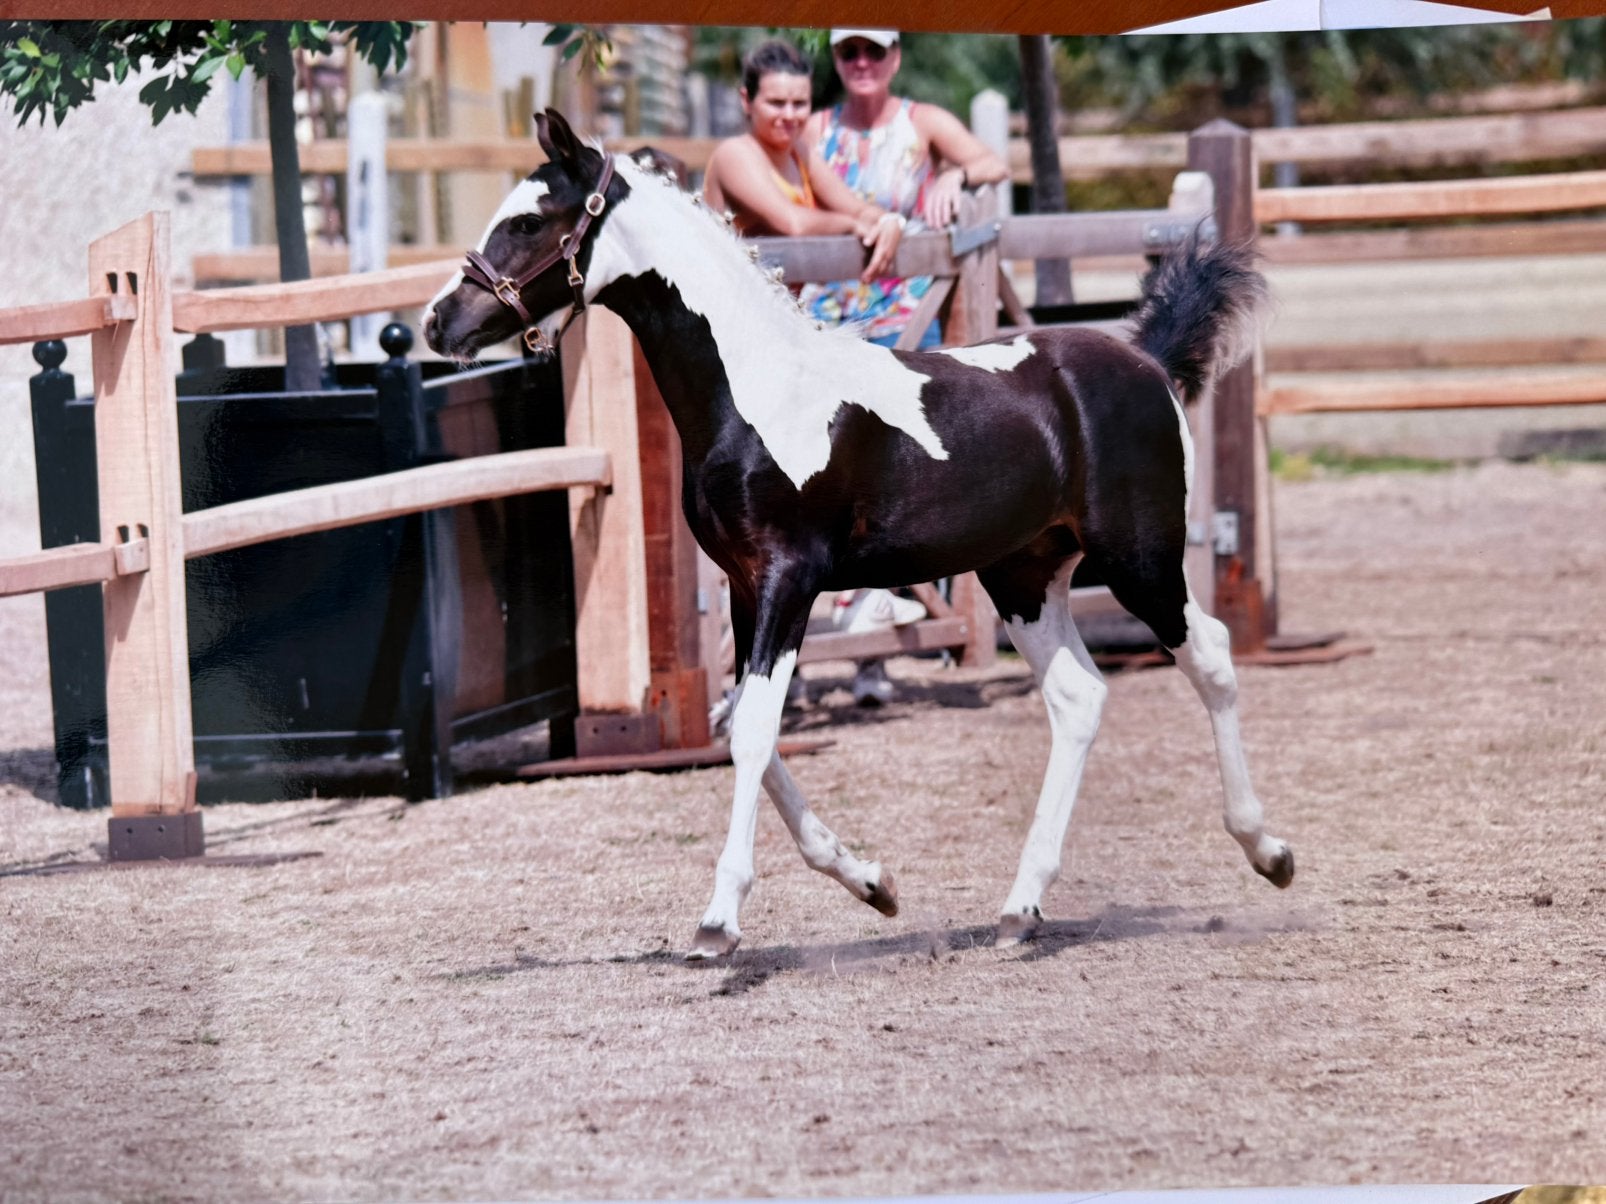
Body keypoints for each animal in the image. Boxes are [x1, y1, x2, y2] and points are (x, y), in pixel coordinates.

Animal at [423, 108, 1293, 961]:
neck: (759, 390)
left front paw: (719, 921)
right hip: (1023, 575)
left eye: (530, 220)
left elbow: (754, 731)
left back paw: (1269, 851)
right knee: (1078, 697)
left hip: (1139, 559)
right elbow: (747, 729)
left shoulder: (790, 578)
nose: (439, 322)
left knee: (1211, 658)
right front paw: (871, 882)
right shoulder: (745, 586)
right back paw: (1020, 908)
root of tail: (1149, 361)